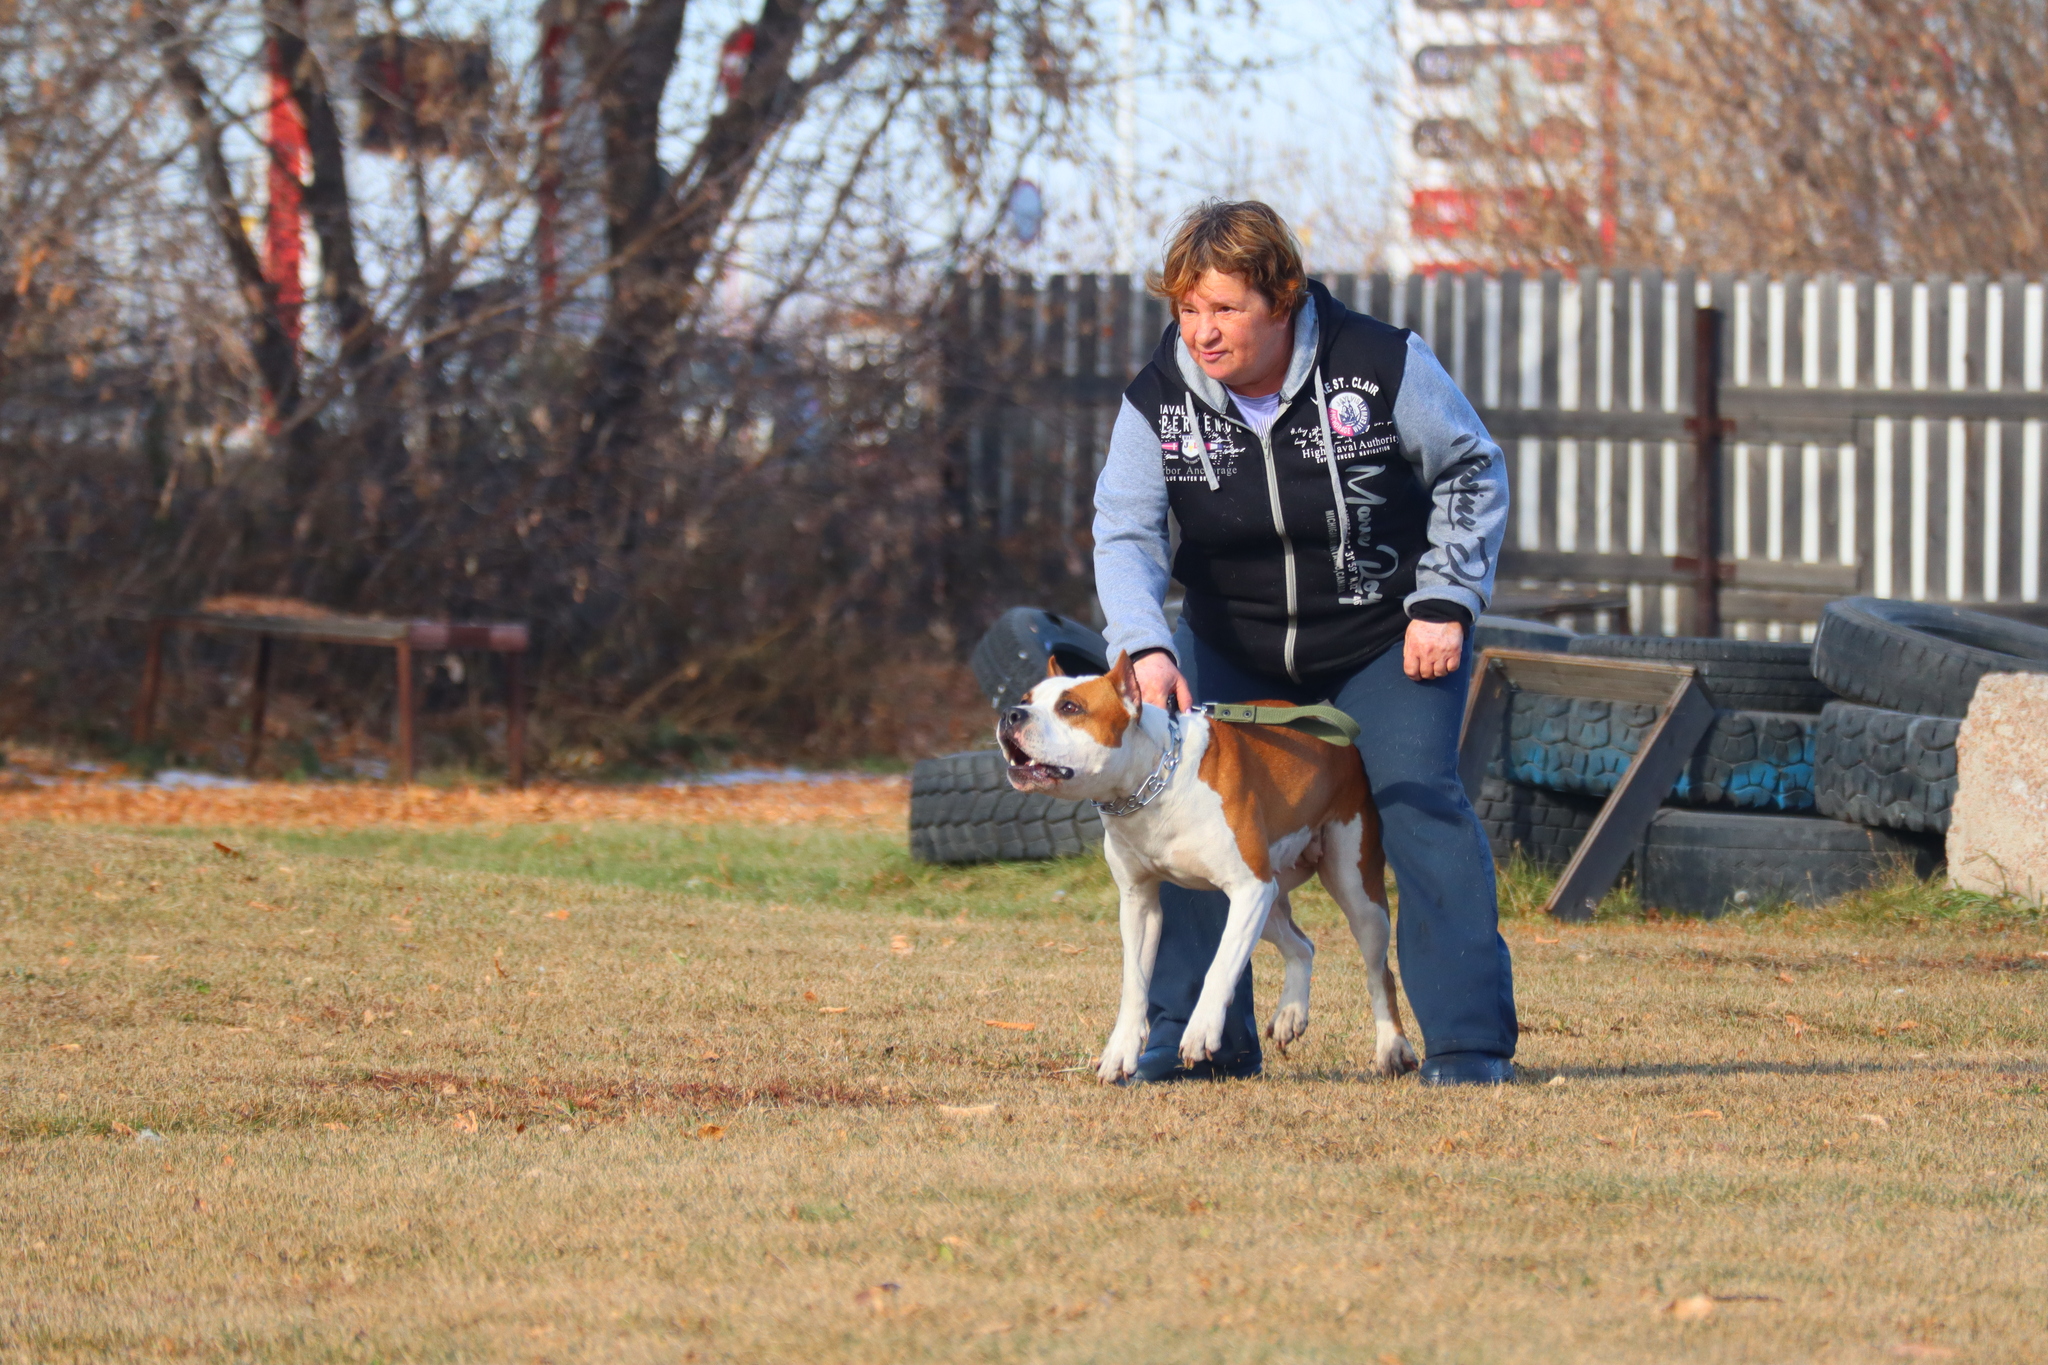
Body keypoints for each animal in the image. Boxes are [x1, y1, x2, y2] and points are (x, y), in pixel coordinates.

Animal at [995, 650, 1417, 1088]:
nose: (1011, 714)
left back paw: (1391, 1047)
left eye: (1070, 707)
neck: (1153, 781)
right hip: (1269, 900)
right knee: (1303, 946)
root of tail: (1337, 735)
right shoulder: (1140, 903)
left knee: (1379, 972)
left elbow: (1220, 966)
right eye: (1026, 699)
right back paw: (1291, 1013)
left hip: (1351, 890)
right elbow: (1135, 982)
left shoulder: (1248, 888)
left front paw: (1200, 1032)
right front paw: (1120, 1051)